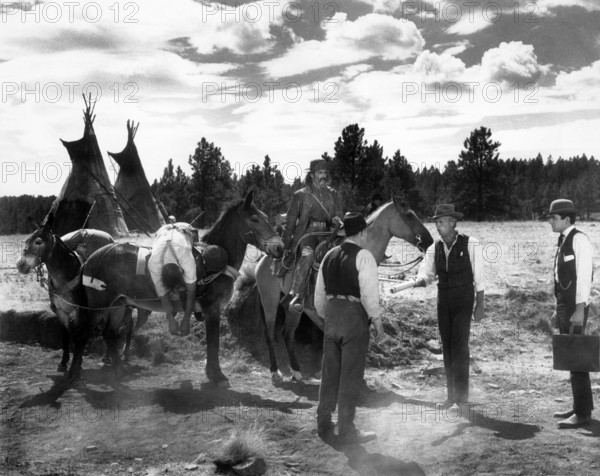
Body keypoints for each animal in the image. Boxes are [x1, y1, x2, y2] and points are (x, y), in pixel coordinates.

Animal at [15, 214, 123, 374]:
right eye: (27, 240)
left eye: (38, 242)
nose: (20, 265)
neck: (65, 275)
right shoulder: (61, 311)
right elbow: (66, 335)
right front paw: (64, 362)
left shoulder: (79, 310)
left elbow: (78, 334)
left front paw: (77, 364)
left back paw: (112, 356)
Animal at [78, 191, 284, 386]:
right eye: (255, 219)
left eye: (266, 216)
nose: (280, 247)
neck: (214, 263)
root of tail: (92, 257)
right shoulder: (212, 308)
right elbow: (213, 343)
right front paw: (217, 375)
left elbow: (212, 343)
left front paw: (212, 373)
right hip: (99, 306)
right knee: (86, 330)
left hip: (118, 305)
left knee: (110, 334)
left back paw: (118, 368)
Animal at [253, 198, 432, 384]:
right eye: (409, 215)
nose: (430, 240)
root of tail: (264, 259)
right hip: (269, 300)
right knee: (270, 333)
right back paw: (275, 372)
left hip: (293, 308)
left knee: (287, 334)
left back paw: (296, 372)